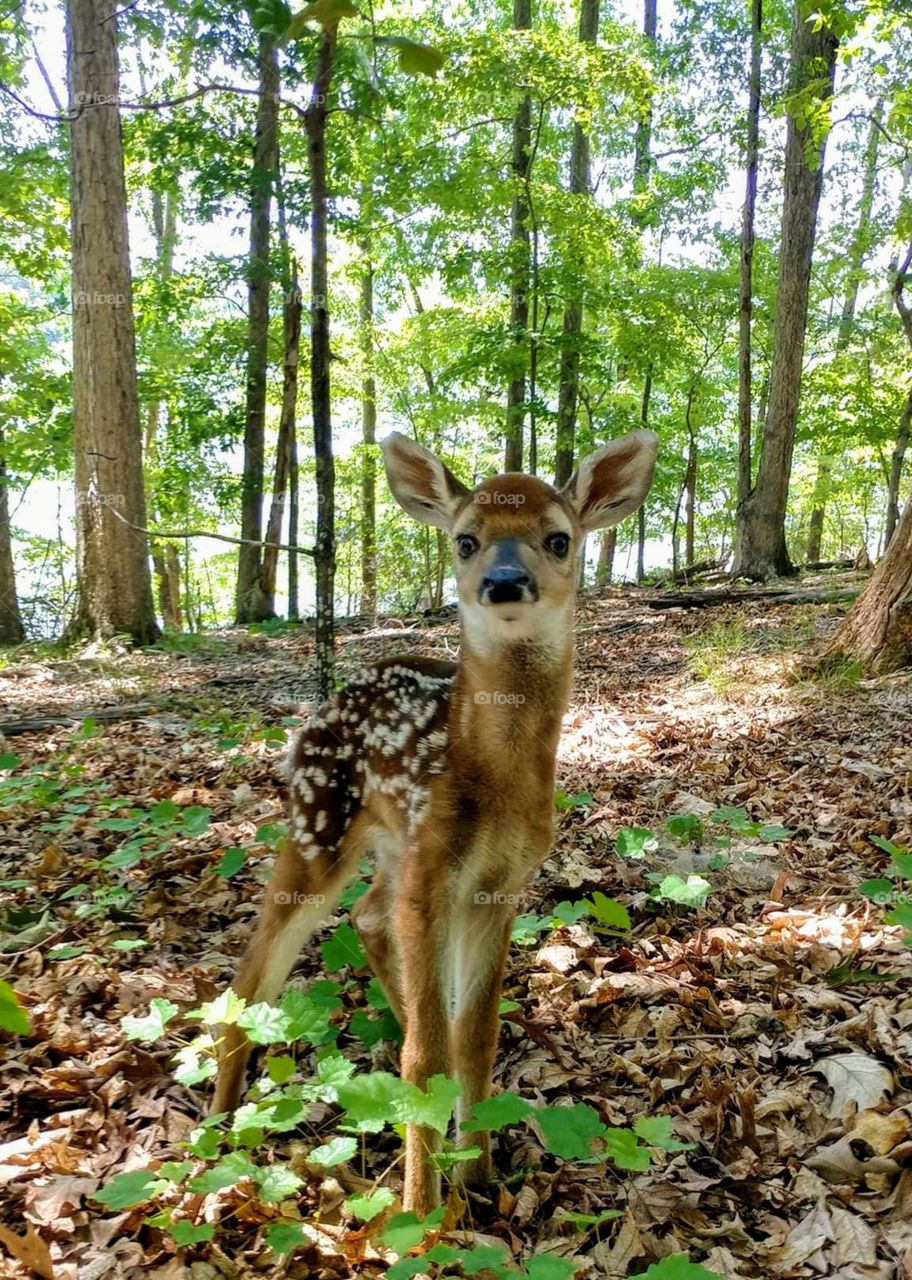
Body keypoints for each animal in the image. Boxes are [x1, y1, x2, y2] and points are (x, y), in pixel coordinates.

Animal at [211, 429, 658, 1214]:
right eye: (466, 540)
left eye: (559, 538)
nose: (504, 583)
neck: (487, 774)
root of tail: (322, 709)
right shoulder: (434, 875)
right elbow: (425, 1055)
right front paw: (421, 1216)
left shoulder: (498, 883)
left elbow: (475, 1036)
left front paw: (478, 1179)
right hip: (319, 824)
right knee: (253, 970)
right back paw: (215, 1129)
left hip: (396, 848)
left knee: (367, 920)